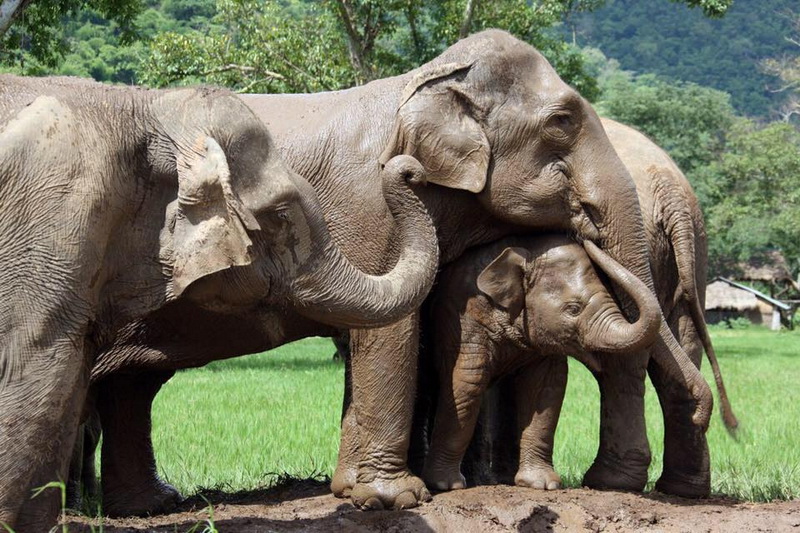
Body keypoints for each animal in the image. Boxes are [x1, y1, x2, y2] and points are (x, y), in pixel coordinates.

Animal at [0, 76, 438, 531]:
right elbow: (40, 367)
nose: (409, 168)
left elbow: (67, 381)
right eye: (281, 217)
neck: (144, 108)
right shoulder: (53, 217)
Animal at [420, 233, 663, 492]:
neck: (524, 256)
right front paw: (445, 485)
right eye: (573, 309)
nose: (590, 238)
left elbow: (544, 388)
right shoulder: (463, 317)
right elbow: (466, 382)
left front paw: (543, 485)